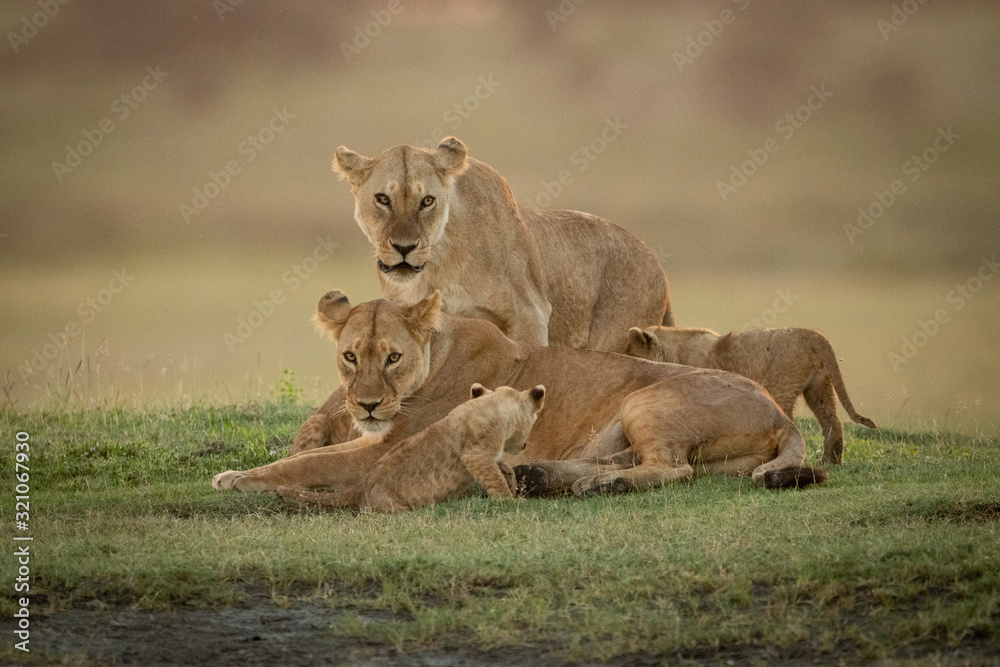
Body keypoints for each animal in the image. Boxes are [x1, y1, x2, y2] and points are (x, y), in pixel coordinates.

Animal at [212, 290, 827, 498]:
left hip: (644, 400)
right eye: (349, 356)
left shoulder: (387, 447)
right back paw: (543, 476)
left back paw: (595, 486)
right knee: (638, 463)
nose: (364, 405)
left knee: (671, 470)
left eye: (392, 357)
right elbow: (304, 456)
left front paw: (235, 478)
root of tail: (782, 414)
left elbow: (304, 465)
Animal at [274, 383, 545, 513]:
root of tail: (362, 486)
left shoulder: (488, 453)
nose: (525, 444)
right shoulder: (474, 454)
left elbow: (501, 465)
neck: (495, 405)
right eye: (533, 423)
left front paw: (512, 478)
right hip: (391, 504)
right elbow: (493, 479)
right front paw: (512, 501)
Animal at [330, 136, 672, 353]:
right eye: (382, 199)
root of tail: (658, 265)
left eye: (427, 201)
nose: (404, 248)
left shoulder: (531, 315)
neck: (439, 264)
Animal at [624, 326, 878, 464]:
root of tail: (812, 334)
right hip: (820, 387)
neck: (671, 351)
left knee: (789, 422)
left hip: (782, 385)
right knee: (832, 422)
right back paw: (830, 462)